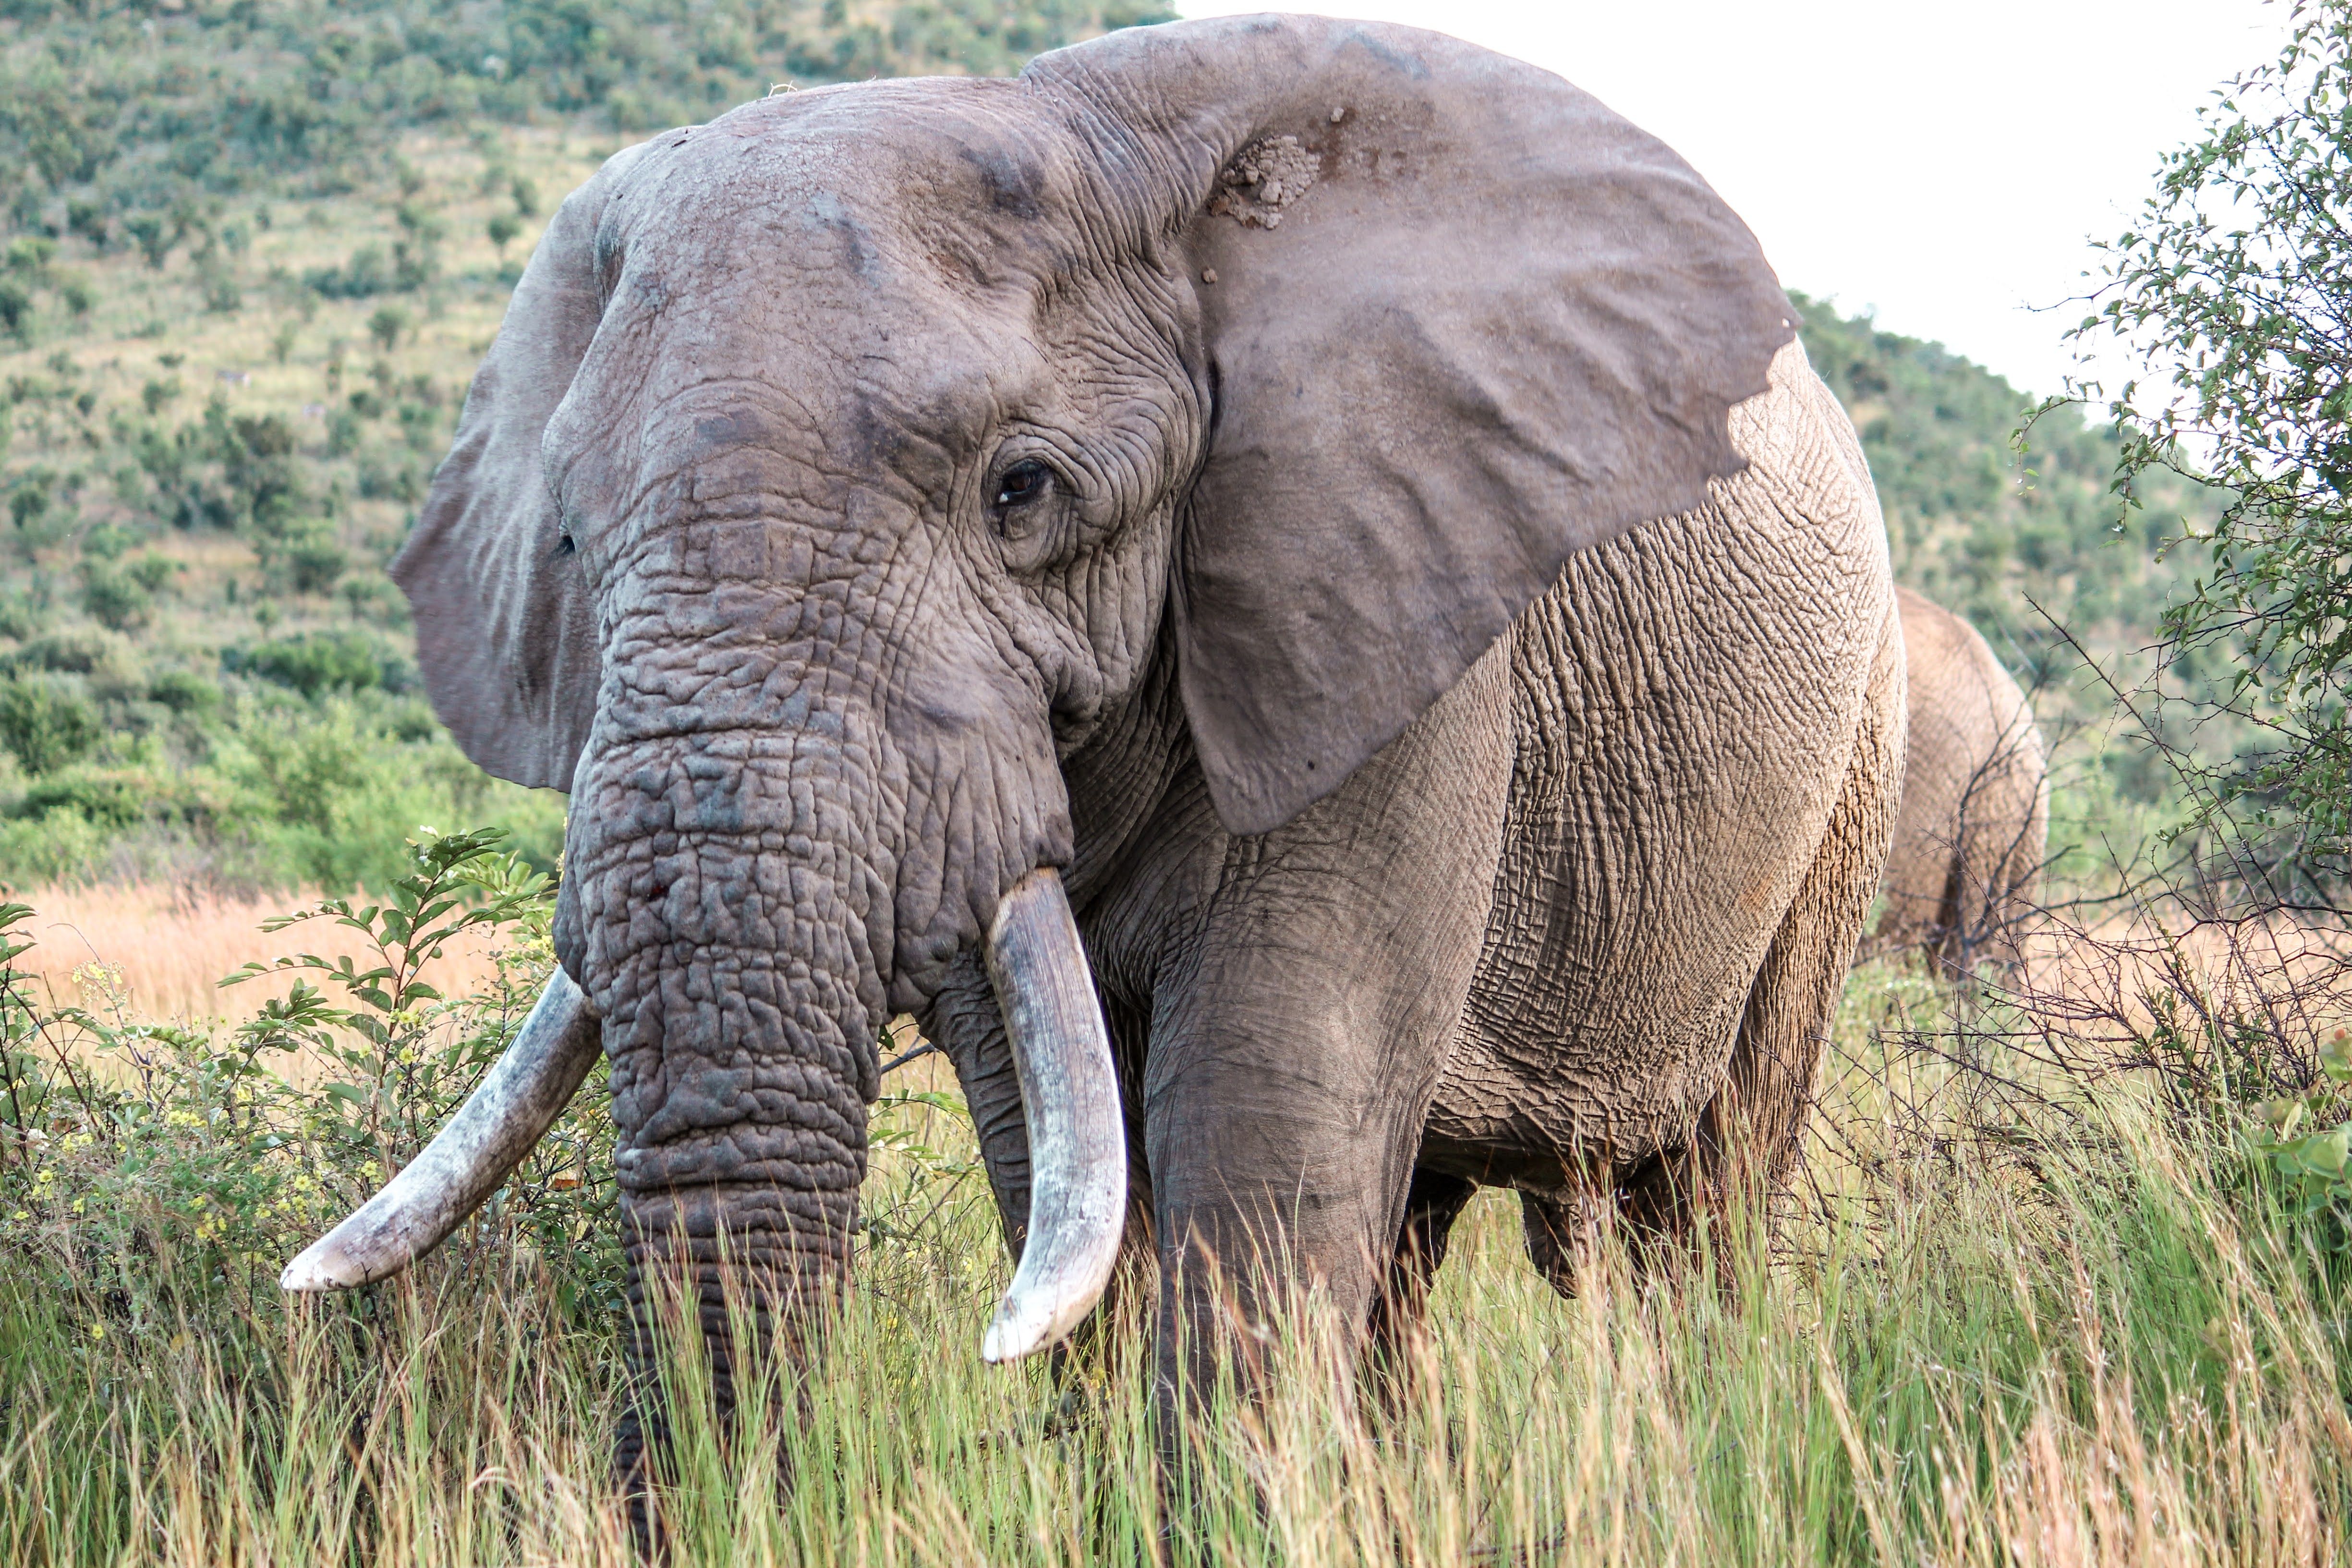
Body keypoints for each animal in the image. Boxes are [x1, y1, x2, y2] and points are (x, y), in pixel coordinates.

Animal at [279, 12, 1904, 1497]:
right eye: (564, 538)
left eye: (1022, 490)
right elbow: (1055, 1147)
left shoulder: (1388, 617)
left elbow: (1269, 1096)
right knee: (1414, 1224)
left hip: (1851, 767)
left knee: (1711, 1192)